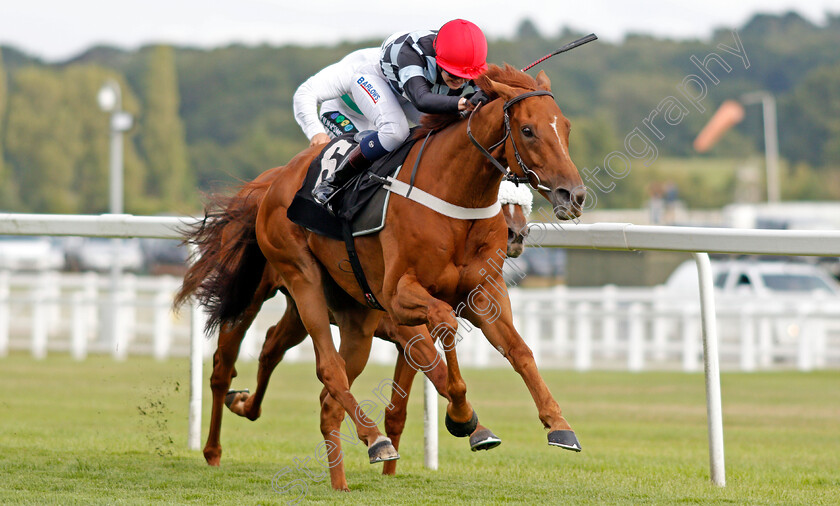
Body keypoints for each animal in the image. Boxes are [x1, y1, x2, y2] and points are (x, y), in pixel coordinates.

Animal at [191, 178, 532, 470]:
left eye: (521, 203)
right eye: (500, 201)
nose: (516, 235)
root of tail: (262, 190)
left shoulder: (408, 338)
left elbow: (400, 408)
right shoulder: (406, 325)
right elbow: (438, 372)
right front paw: (471, 424)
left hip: (299, 308)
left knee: (271, 347)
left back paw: (245, 405)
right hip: (250, 296)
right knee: (223, 366)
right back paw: (212, 449)